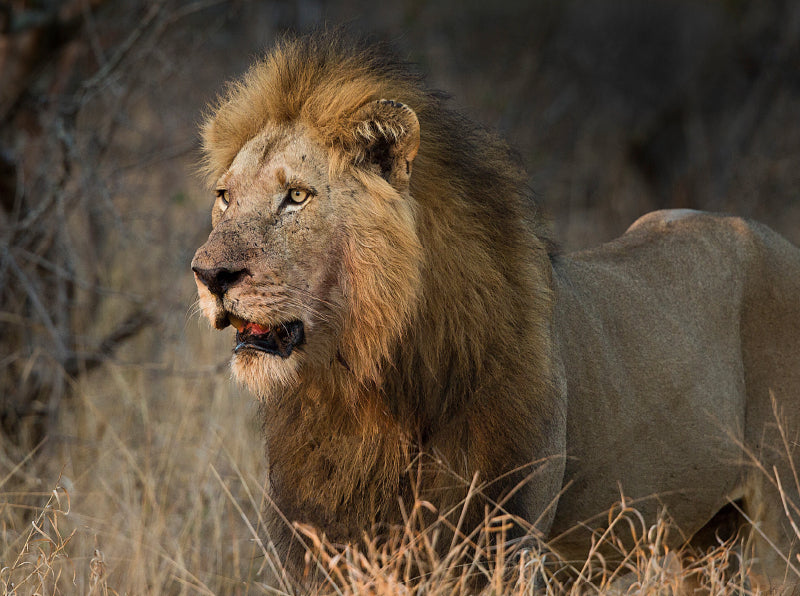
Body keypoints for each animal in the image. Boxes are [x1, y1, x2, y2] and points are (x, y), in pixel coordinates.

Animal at [192, 31, 800, 588]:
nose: (209, 275)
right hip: (710, 542)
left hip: (781, 517)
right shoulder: (325, 546)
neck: (358, 383)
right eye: (225, 196)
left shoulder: (501, 538)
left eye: (296, 196)